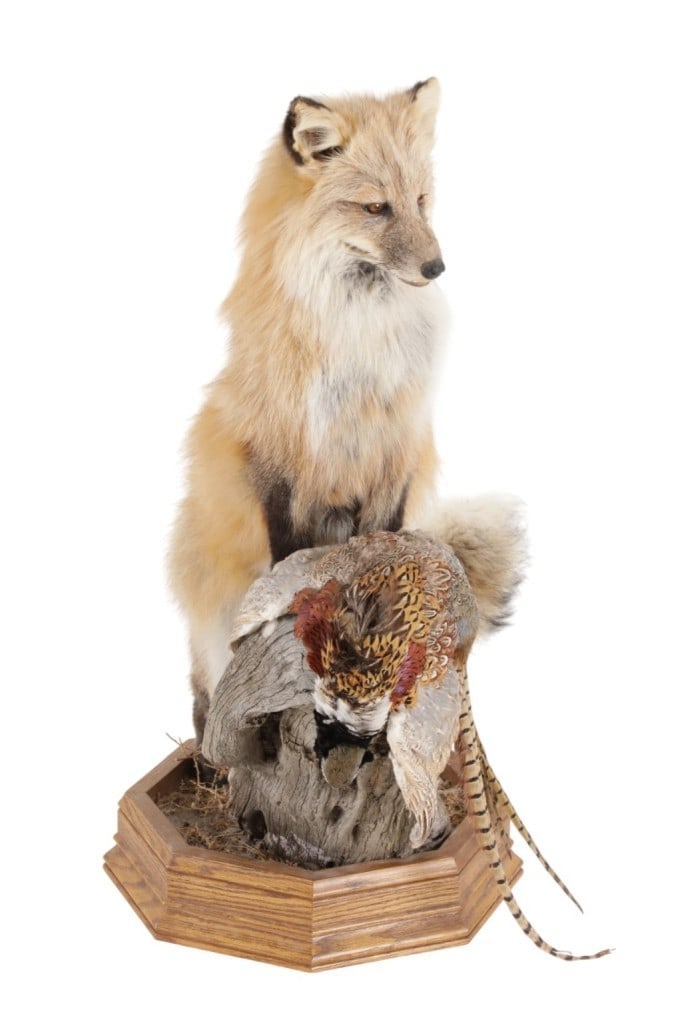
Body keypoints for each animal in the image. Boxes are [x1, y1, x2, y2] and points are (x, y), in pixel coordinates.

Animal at [168, 78, 525, 739]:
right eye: (375, 208)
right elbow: (285, 554)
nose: (437, 267)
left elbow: (385, 548)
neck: (358, 348)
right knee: (206, 680)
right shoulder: (277, 456)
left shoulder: (396, 451)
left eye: (420, 201)